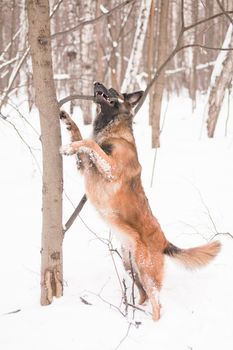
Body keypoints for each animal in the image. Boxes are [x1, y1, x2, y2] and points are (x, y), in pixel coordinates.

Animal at [59, 81, 221, 320]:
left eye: (112, 90)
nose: (96, 82)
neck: (113, 131)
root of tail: (164, 241)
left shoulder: (111, 169)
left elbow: (89, 142)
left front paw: (69, 146)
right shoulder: (86, 165)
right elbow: (81, 137)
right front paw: (67, 120)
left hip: (146, 271)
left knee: (157, 304)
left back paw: (152, 322)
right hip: (130, 266)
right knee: (143, 295)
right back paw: (138, 311)